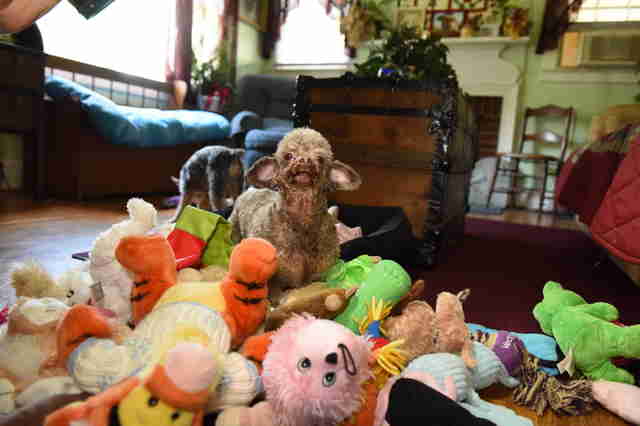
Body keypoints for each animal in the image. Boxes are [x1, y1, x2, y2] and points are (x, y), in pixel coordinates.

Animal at [229, 127, 360, 302]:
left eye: (320, 159)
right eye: (288, 156)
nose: (304, 159)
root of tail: (248, 191)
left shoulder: (317, 275)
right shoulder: (276, 280)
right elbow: (275, 295)